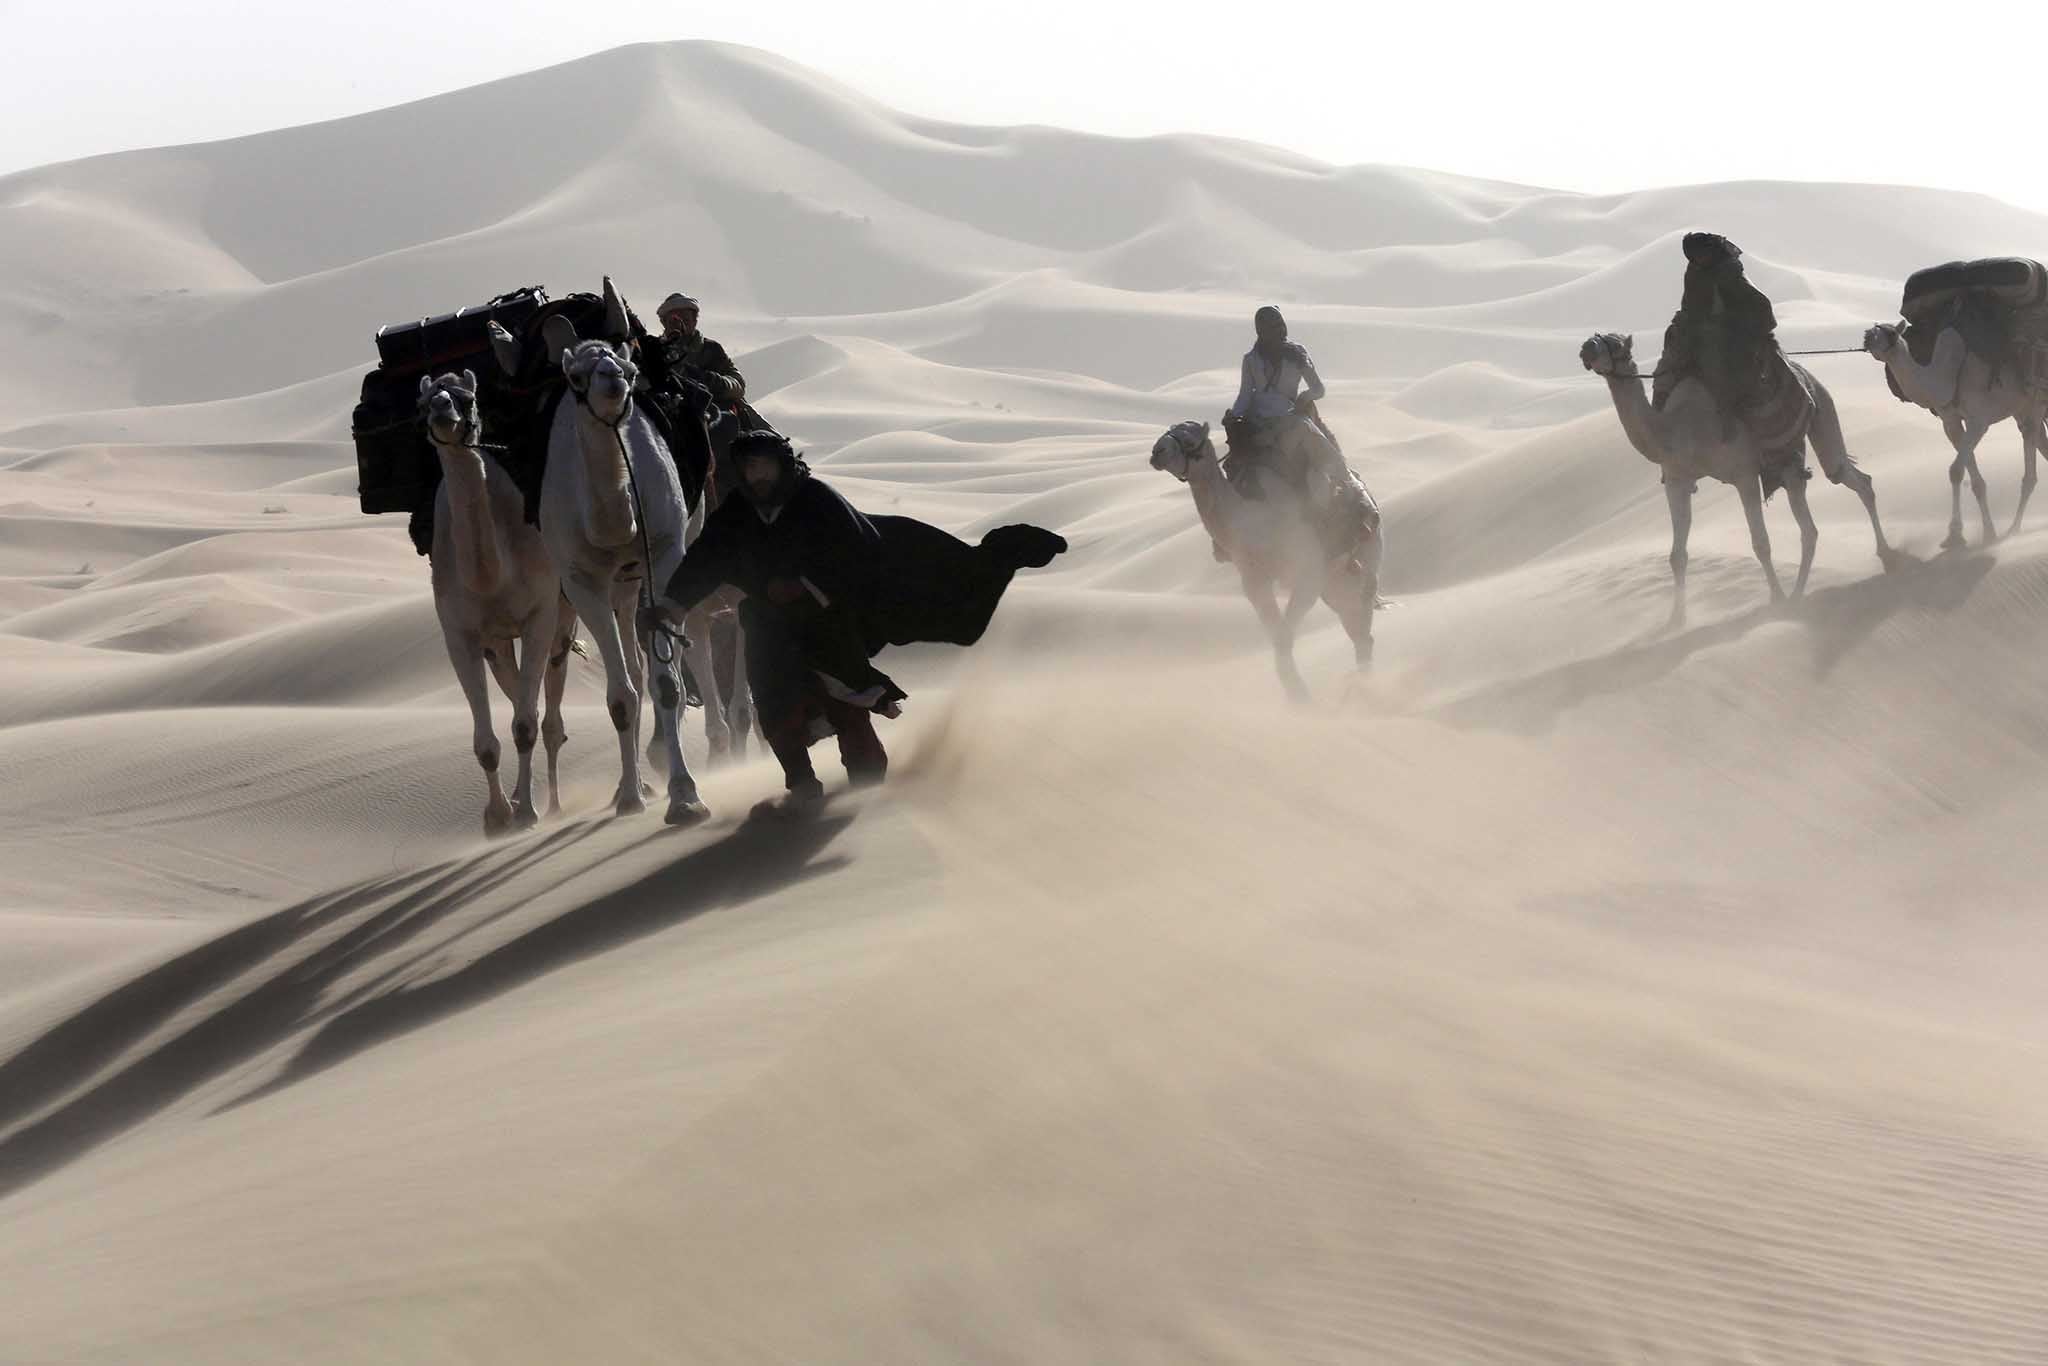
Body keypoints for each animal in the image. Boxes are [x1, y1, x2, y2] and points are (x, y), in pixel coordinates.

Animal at [417, 370, 573, 835]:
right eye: (422, 404)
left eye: (468, 397)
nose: (443, 411)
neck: (490, 575)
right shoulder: (460, 633)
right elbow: (487, 742)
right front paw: (498, 816)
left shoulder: (540, 613)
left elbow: (525, 726)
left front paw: (525, 814)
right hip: (499, 644)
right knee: (525, 694)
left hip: (566, 614)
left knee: (549, 711)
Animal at [540, 301, 708, 823]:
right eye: (574, 376)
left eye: (632, 371)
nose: (613, 381)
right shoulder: (581, 580)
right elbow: (619, 696)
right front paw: (632, 796)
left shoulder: (667, 555)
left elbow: (667, 684)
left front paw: (685, 795)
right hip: (606, 584)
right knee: (628, 671)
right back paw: (624, 787)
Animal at [1155, 419, 1376, 700]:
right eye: (1168, 431)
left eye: (1190, 440)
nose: (1157, 452)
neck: (1250, 520)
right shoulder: (1253, 580)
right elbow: (1278, 636)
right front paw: (1298, 696)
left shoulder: (1308, 573)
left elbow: (1284, 637)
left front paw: (1301, 698)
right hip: (1335, 585)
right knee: (1359, 634)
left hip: (1360, 574)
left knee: (1361, 630)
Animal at [1581, 339, 1884, 626]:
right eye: (1596, 338)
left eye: (1615, 345)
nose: (1586, 349)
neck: (1680, 429)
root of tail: (1805, 373)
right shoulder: (1677, 480)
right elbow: (1677, 555)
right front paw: (1677, 618)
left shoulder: (1744, 475)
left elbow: (1761, 543)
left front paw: (1776, 599)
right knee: (1826, 504)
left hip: (1820, 408)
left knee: (1839, 478)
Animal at [1867, 323, 2039, 548]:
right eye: (1872, 330)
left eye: (1892, 333)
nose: (1867, 338)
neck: (1946, 374)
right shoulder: (1951, 422)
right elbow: (1971, 478)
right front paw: (1986, 533)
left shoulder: (1978, 421)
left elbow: (1956, 470)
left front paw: (1956, 535)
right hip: (2024, 408)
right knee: (2032, 441)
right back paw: (2014, 528)